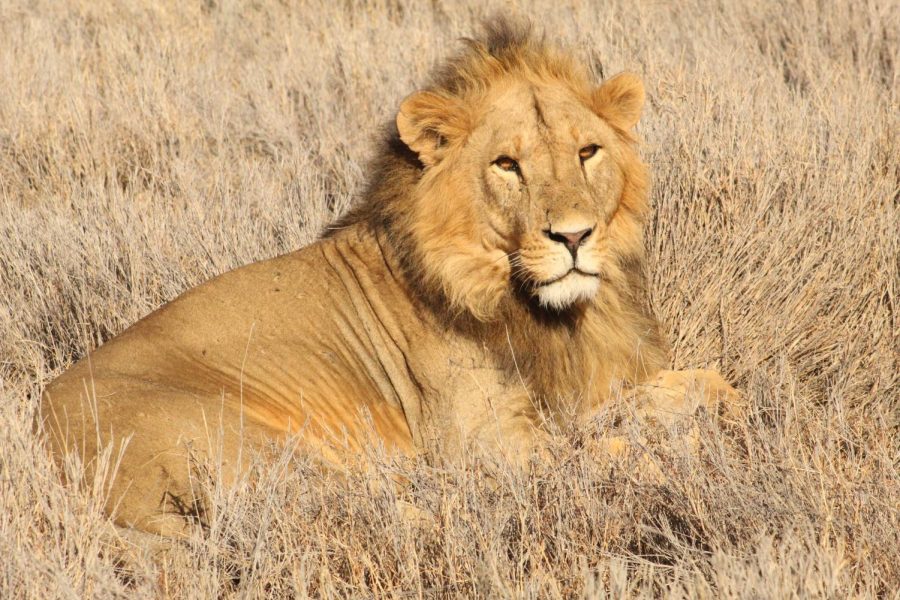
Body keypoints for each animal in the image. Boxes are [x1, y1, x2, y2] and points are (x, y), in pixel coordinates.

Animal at [40, 18, 740, 536]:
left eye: (587, 151)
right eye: (506, 164)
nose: (573, 237)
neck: (538, 310)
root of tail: (37, 438)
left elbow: (707, 381)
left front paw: (733, 412)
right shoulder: (487, 444)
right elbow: (606, 454)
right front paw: (683, 455)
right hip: (253, 445)